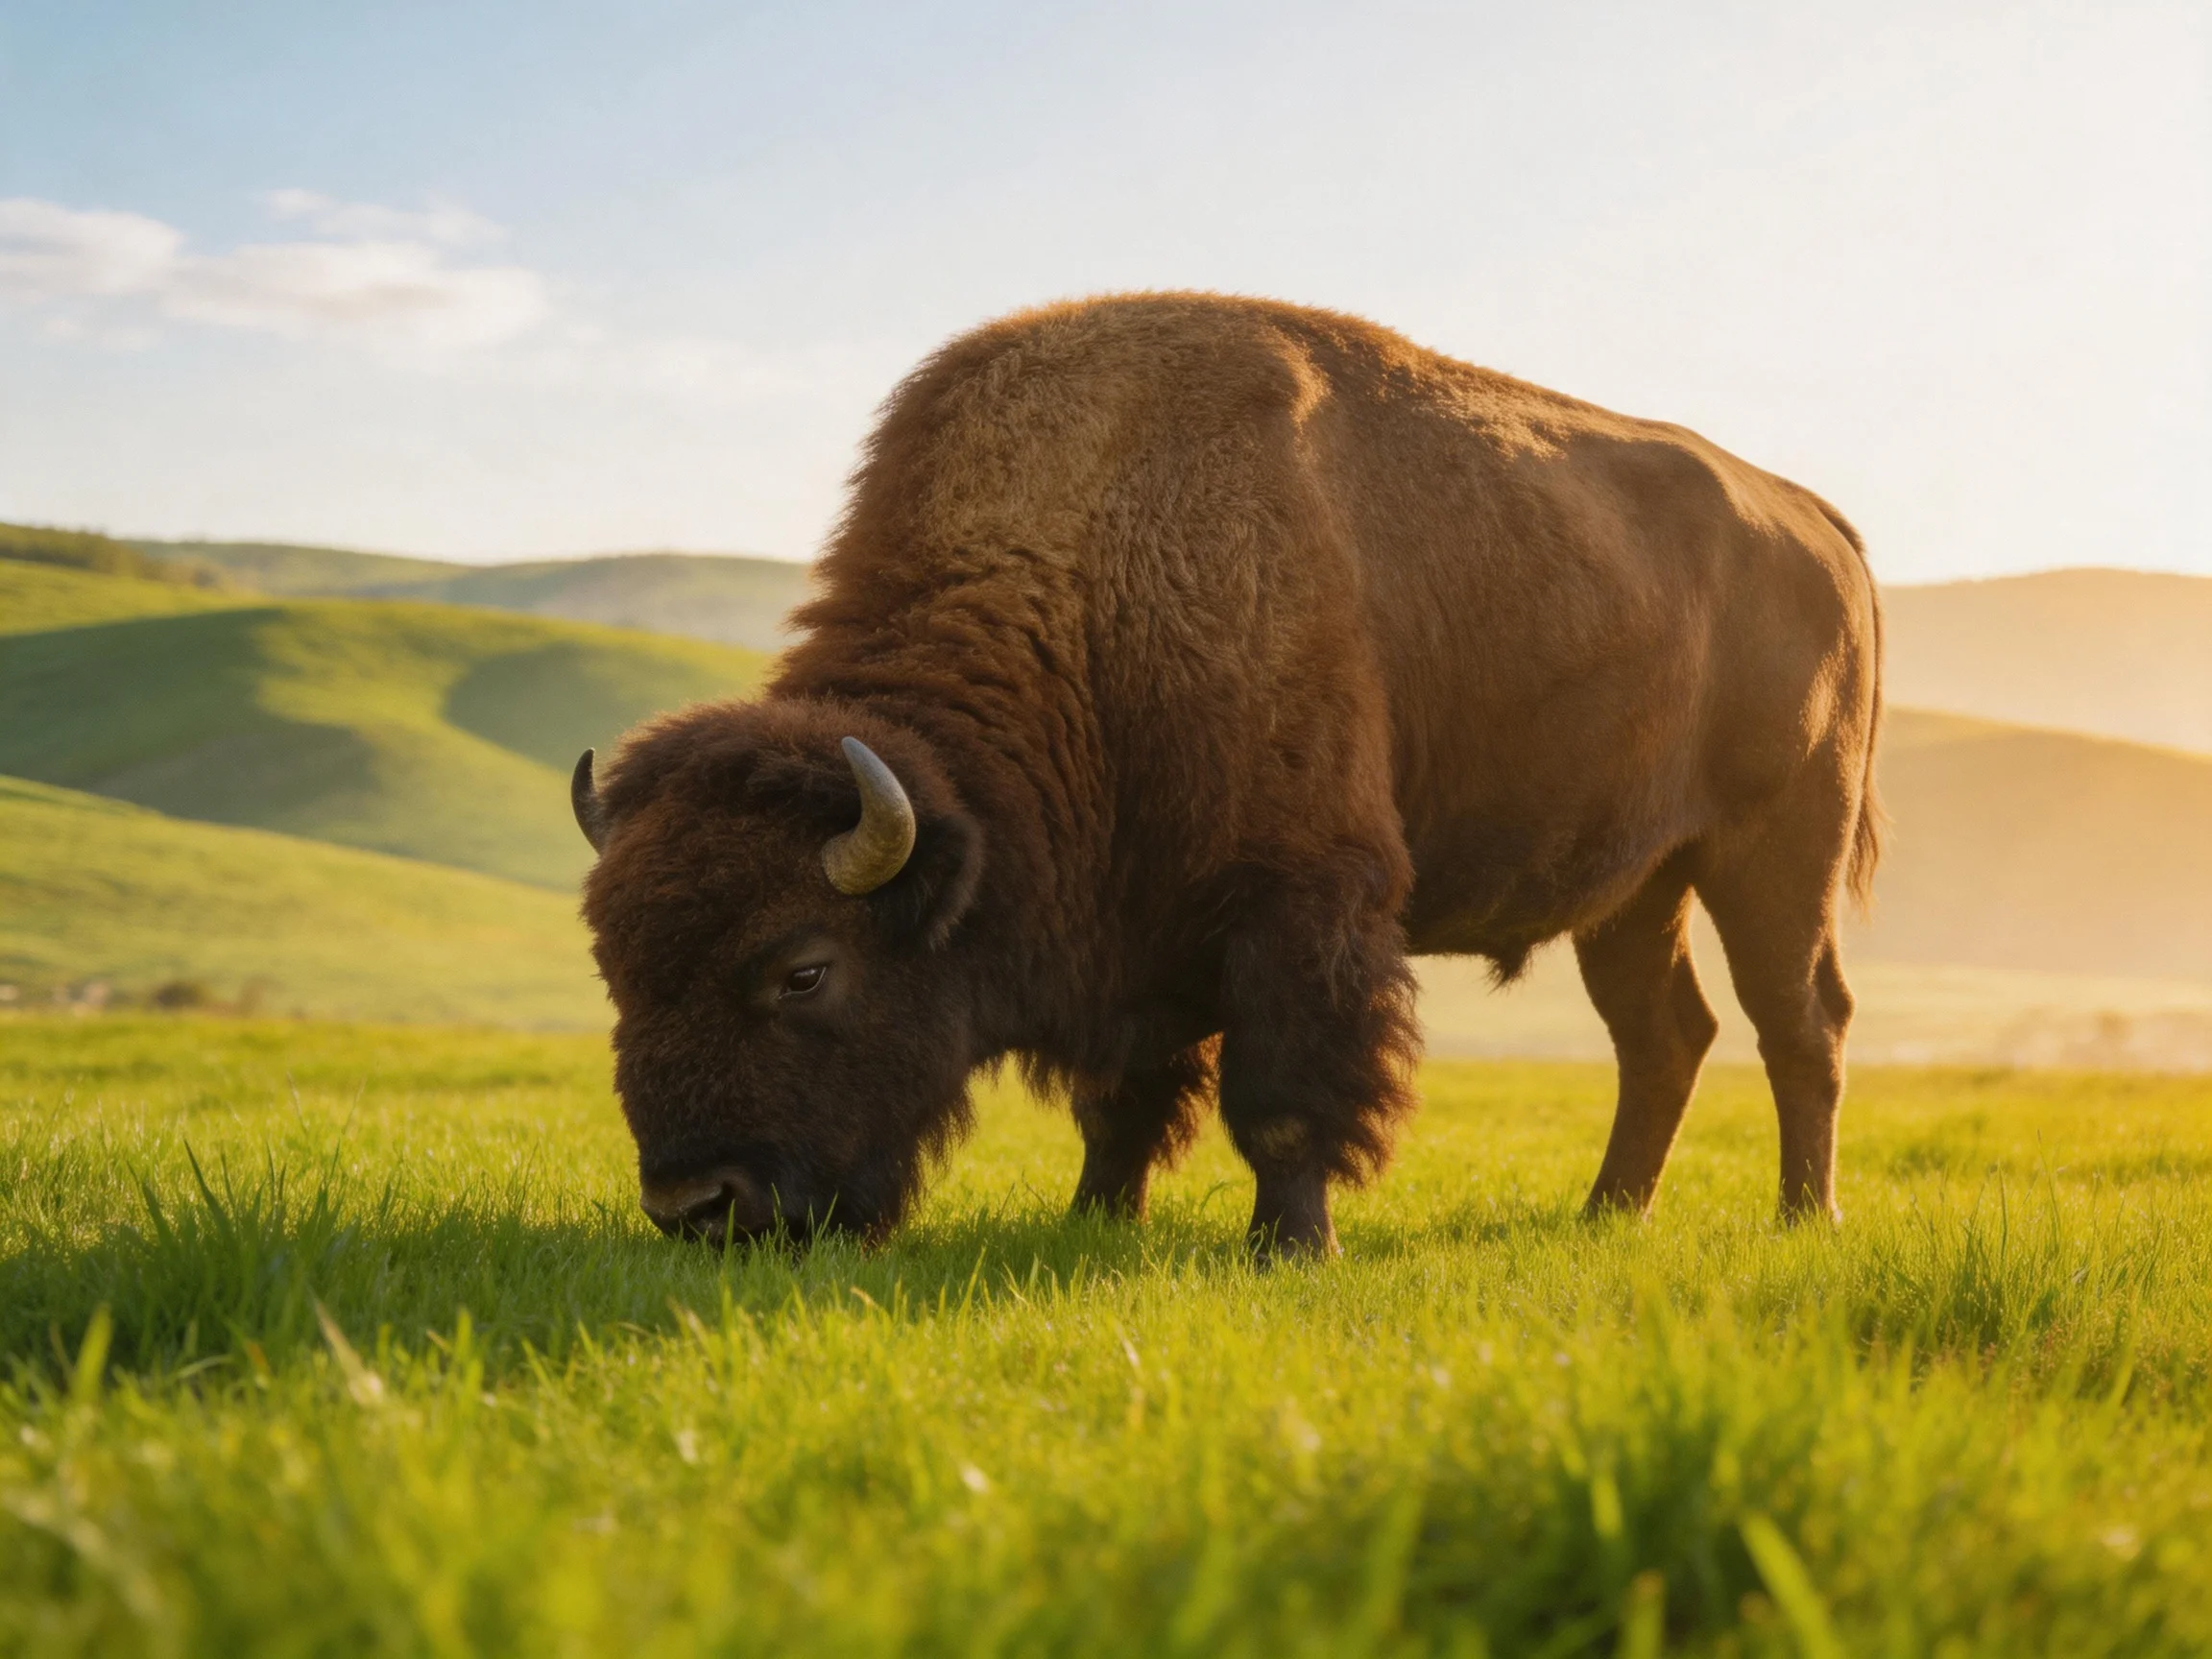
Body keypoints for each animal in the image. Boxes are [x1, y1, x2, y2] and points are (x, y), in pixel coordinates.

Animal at [574, 293, 1881, 1255]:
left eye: (804, 970)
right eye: (616, 969)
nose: (697, 1207)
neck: (1093, 579)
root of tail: (1819, 522)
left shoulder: (1295, 905)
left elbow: (1282, 1098)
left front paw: (1290, 1247)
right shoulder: (1135, 934)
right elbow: (1126, 1103)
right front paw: (1095, 1218)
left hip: (1775, 852)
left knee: (1800, 1022)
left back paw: (1802, 1220)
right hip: (1636, 891)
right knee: (1664, 1035)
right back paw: (1607, 1213)